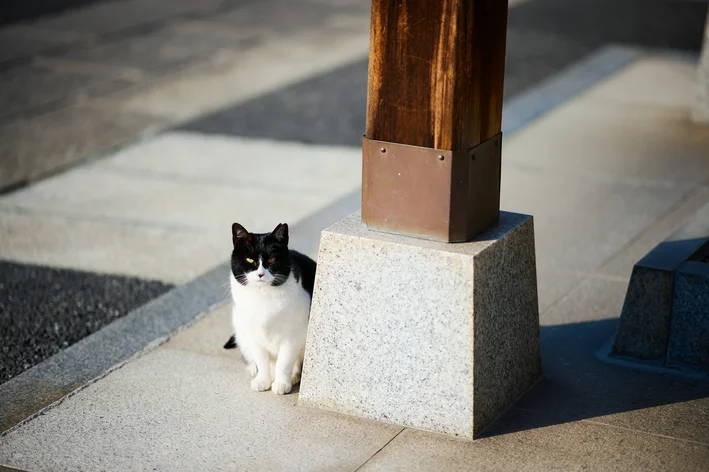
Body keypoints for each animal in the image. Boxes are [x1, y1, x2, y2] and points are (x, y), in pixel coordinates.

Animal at [224, 222, 316, 394]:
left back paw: (293, 376)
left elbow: (284, 362)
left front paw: (281, 383)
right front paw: (263, 380)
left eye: (272, 259)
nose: (260, 274)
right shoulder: (253, 333)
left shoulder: (293, 335)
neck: (263, 294)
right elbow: (261, 359)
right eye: (249, 259)